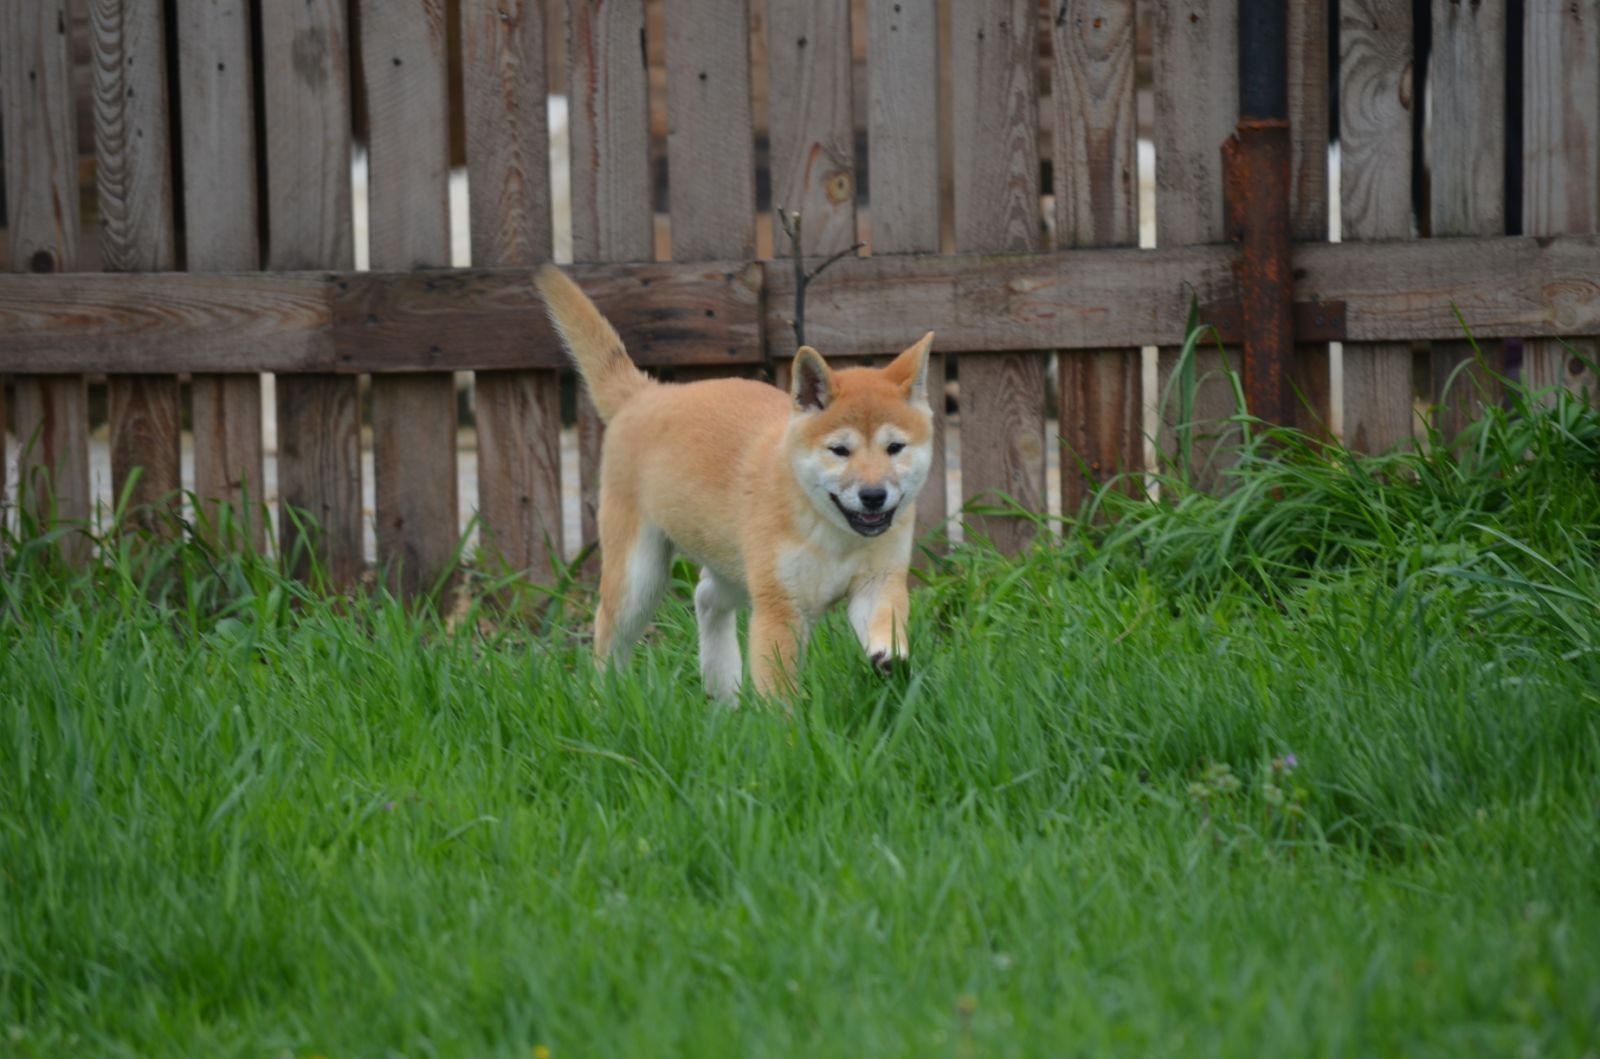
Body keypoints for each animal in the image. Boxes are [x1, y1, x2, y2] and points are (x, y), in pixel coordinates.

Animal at [537, 265, 934, 703]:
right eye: (839, 450)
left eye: (894, 448)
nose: (873, 496)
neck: (833, 533)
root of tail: (645, 393)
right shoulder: (778, 606)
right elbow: (778, 688)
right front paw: (781, 721)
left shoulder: (877, 582)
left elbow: (887, 621)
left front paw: (889, 655)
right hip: (640, 580)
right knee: (609, 640)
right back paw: (604, 698)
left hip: (733, 566)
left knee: (706, 597)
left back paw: (723, 689)